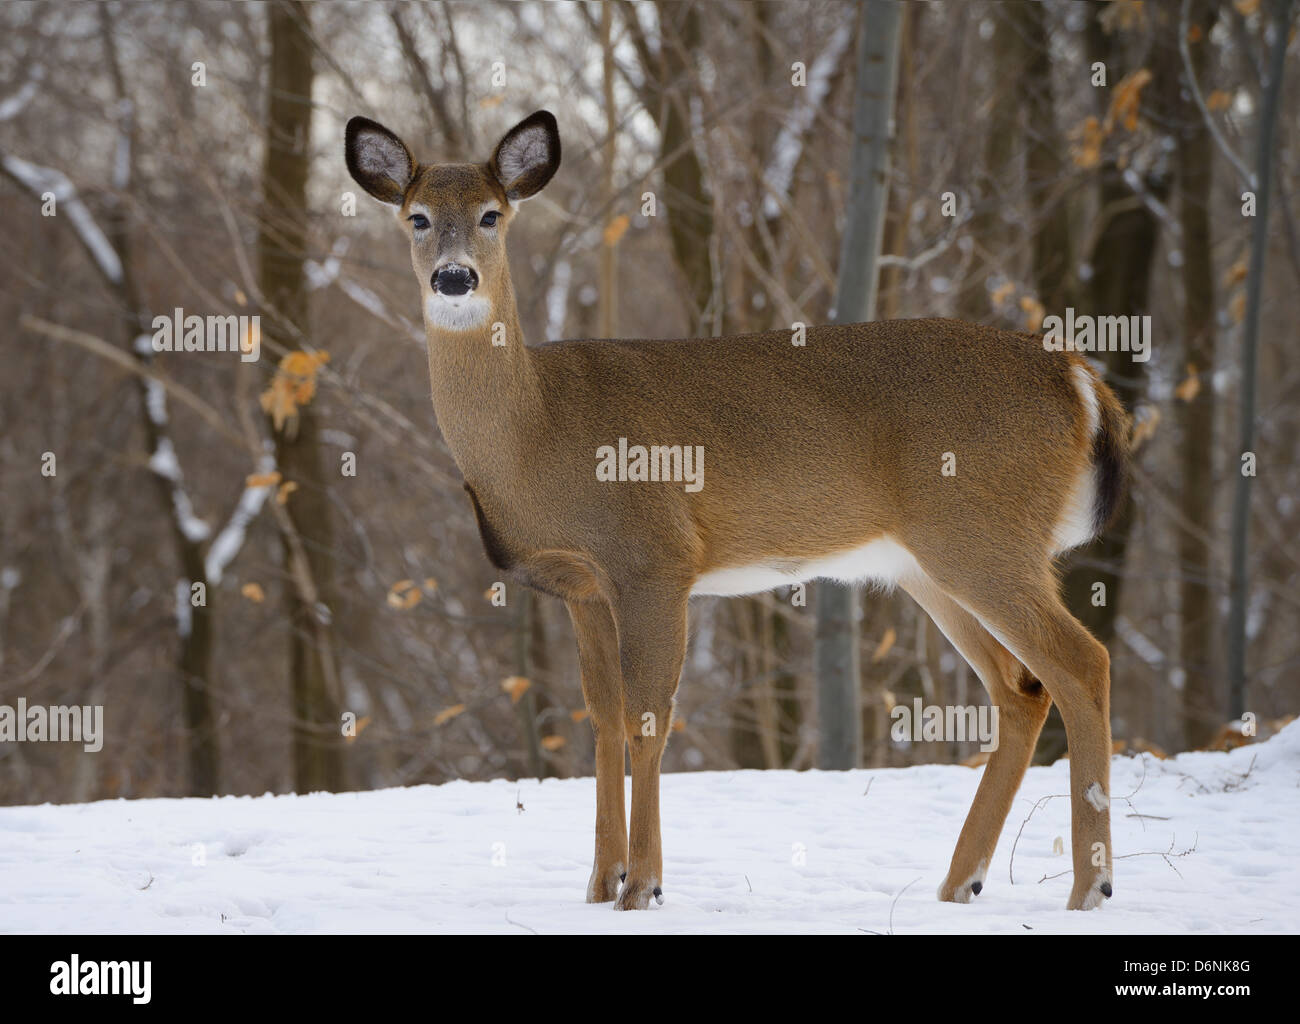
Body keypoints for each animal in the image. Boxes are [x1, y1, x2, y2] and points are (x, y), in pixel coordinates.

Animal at [344, 109, 1130, 912]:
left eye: (492, 215)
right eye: (416, 217)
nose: (454, 278)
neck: (537, 434)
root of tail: (1076, 377)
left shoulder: (655, 559)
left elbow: (647, 720)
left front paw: (644, 886)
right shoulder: (583, 588)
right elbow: (602, 721)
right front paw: (599, 884)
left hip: (984, 534)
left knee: (1082, 663)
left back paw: (1090, 888)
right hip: (930, 563)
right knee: (1021, 688)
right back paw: (959, 883)